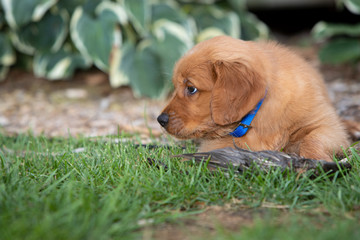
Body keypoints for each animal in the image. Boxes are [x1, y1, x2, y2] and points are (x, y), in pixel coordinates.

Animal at [157, 35, 348, 162]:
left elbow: (312, 139)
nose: (160, 120)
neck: (258, 113)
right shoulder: (215, 143)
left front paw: (317, 160)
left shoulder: (328, 126)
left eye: (191, 89)